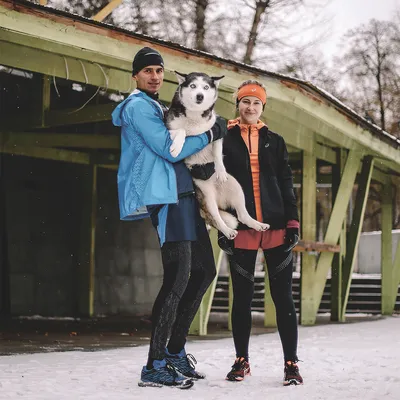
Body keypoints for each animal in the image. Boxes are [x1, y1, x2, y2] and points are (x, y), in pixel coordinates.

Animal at [166, 72, 268, 239]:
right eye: (193, 86)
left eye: (206, 87)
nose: (200, 96)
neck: (195, 117)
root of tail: (219, 198)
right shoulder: (168, 128)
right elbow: (181, 131)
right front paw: (176, 148)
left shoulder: (217, 132)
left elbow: (218, 154)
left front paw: (220, 171)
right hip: (208, 199)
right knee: (216, 218)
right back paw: (228, 232)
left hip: (236, 188)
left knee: (242, 215)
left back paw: (258, 225)